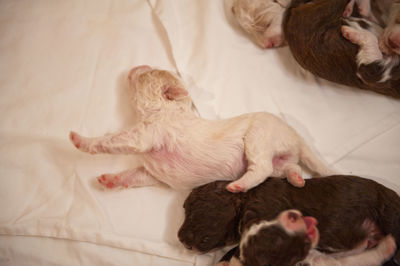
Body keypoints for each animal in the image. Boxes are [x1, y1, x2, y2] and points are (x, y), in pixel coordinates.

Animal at [69, 65, 334, 192]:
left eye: (149, 72)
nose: (136, 66)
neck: (168, 109)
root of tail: (296, 135)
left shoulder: (146, 134)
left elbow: (112, 140)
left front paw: (79, 139)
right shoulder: (153, 173)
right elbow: (134, 175)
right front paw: (110, 180)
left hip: (259, 137)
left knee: (261, 167)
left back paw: (239, 185)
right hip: (280, 159)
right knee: (289, 167)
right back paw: (297, 180)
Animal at [217, 210, 396, 266]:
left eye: (270, 216)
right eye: (276, 241)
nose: (292, 215)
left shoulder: (324, 256)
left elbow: (348, 253)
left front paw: (368, 234)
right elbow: (362, 259)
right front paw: (387, 246)